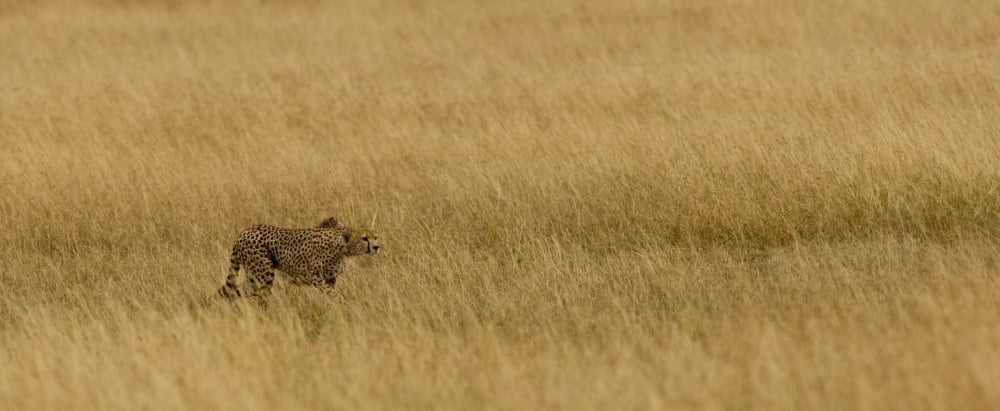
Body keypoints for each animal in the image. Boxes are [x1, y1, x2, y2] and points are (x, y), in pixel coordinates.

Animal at [215, 217, 380, 302]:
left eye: (376, 237)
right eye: (364, 238)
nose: (376, 247)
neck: (343, 248)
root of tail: (243, 232)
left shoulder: (330, 278)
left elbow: (330, 292)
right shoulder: (314, 275)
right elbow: (332, 293)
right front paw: (342, 303)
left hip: (253, 277)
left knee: (234, 291)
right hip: (264, 275)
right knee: (260, 297)